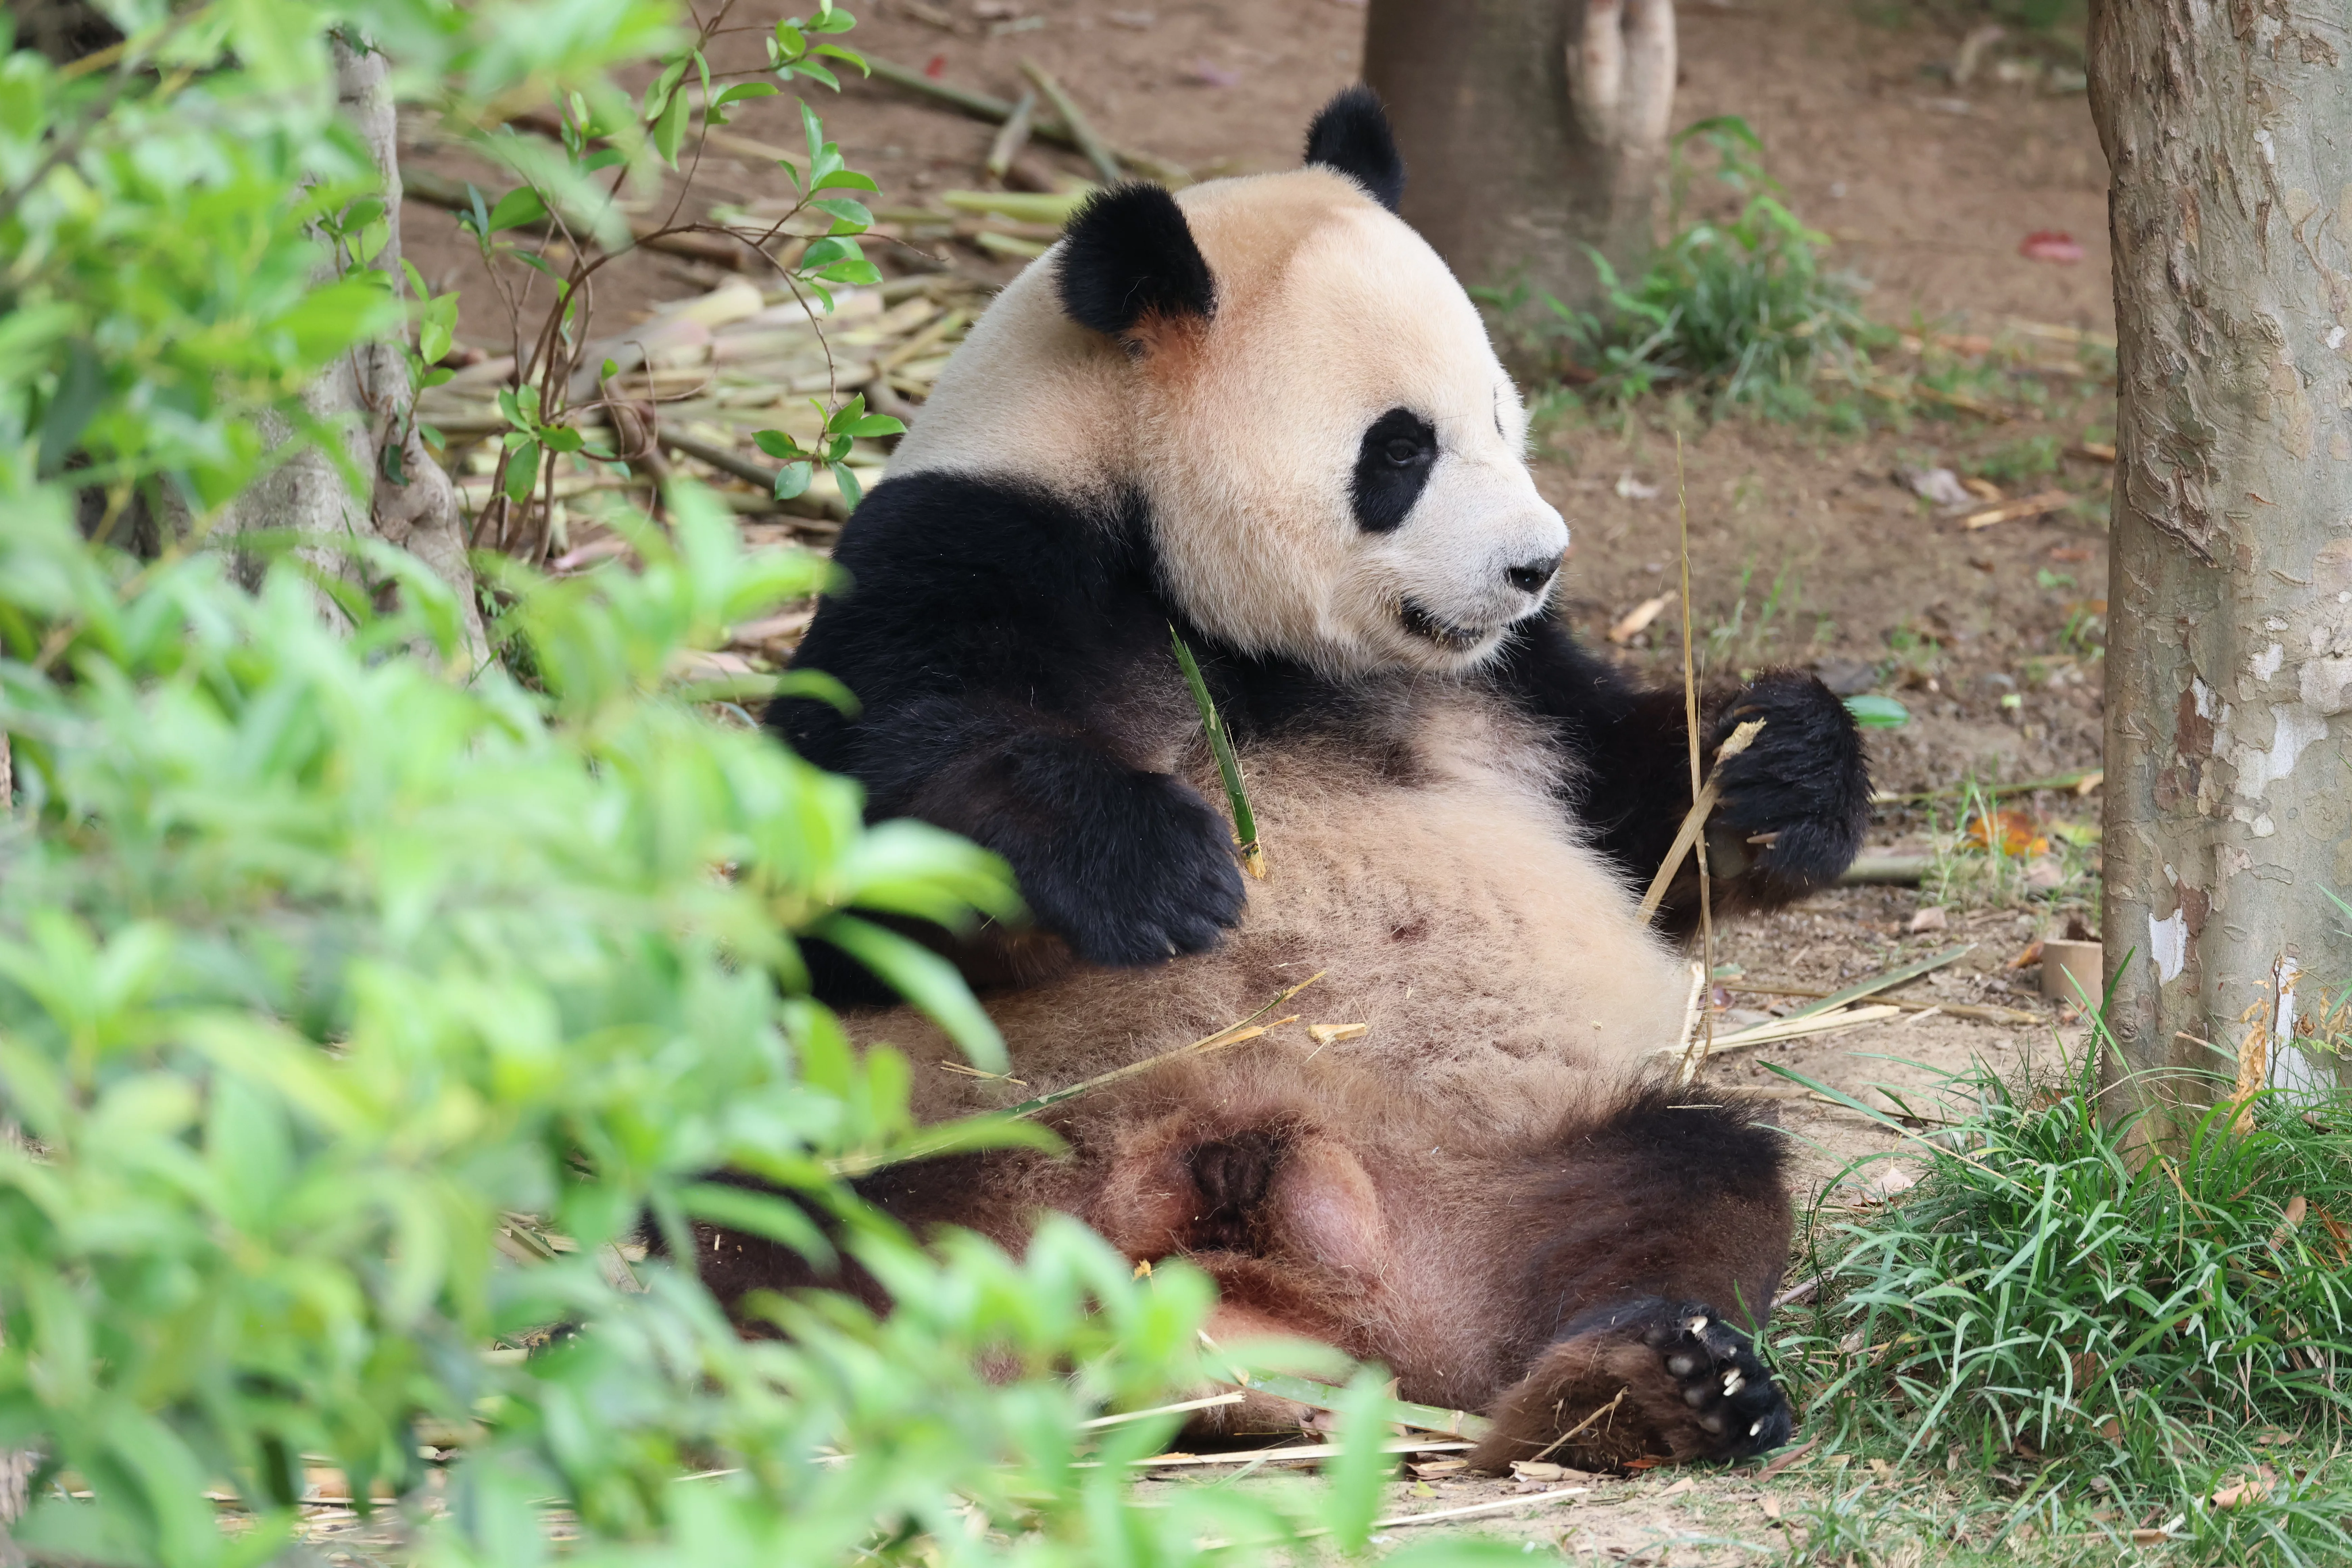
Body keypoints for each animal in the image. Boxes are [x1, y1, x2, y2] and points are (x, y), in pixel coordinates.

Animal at [707, 87, 1873, 1471]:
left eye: (1502, 417)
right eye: (1401, 450)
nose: (1536, 564)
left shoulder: (1506, 682)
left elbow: (1634, 819)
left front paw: (1784, 765)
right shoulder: (962, 550)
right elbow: (854, 834)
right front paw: (1156, 867)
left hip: (1489, 1170)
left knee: (1689, 1184)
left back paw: (1643, 1385)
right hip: (933, 1120)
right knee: (781, 1218)